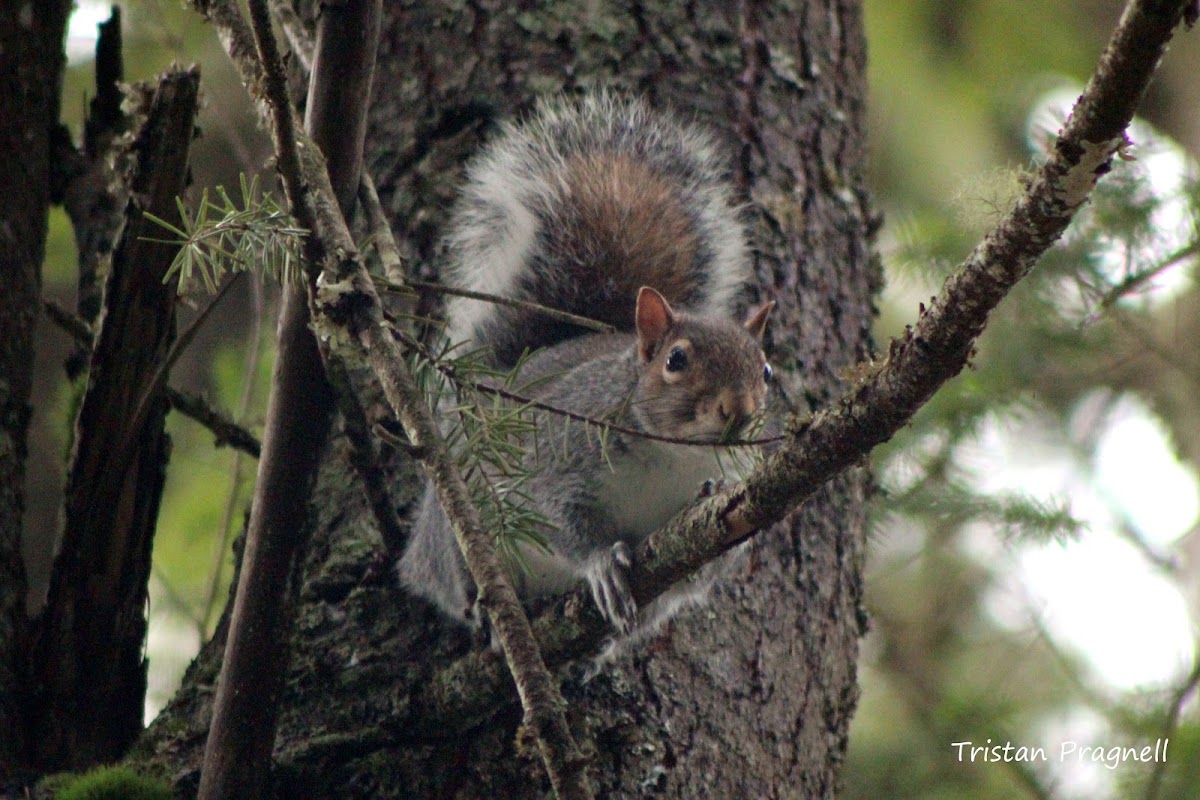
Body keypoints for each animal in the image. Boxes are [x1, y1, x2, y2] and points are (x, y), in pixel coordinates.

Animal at [400, 95, 777, 642]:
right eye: (676, 359)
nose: (741, 410)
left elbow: (709, 562)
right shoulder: (557, 456)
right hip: (457, 519)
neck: (675, 457)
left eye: (767, 371)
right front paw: (601, 564)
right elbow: (557, 514)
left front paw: (711, 491)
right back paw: (479, 605)